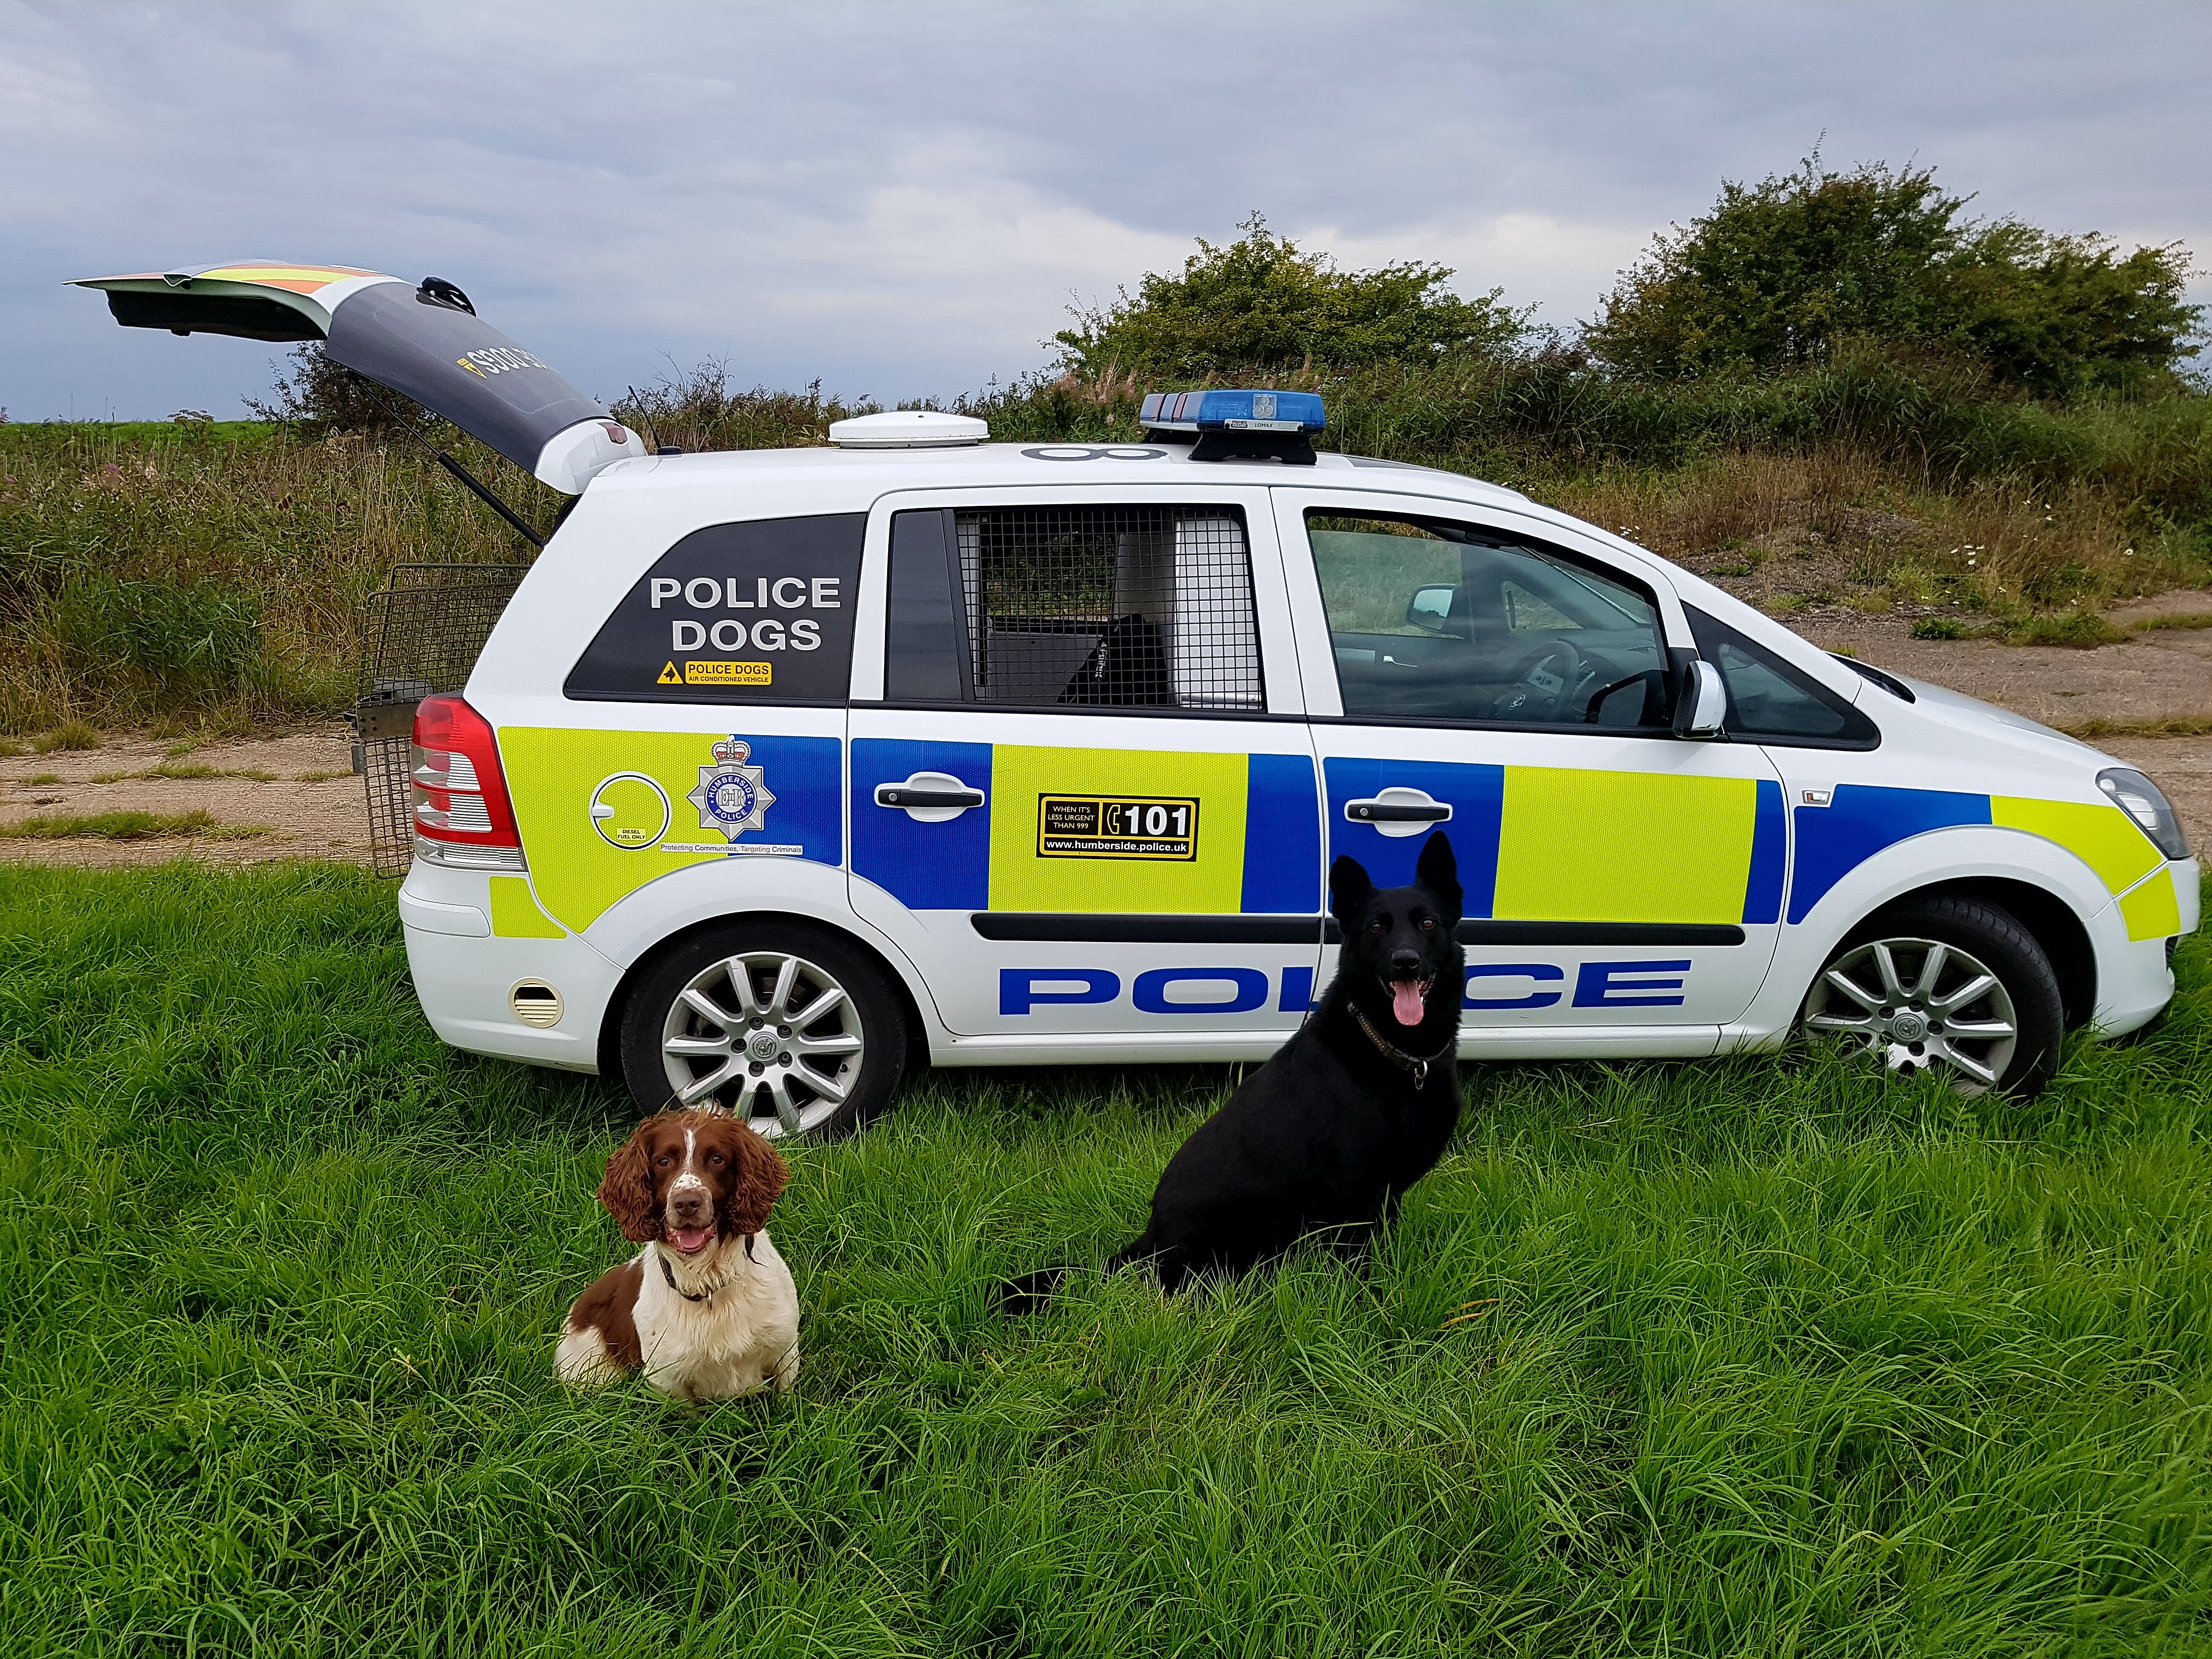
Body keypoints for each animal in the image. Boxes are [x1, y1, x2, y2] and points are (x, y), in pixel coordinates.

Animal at [1008, 832, 1469, 1309]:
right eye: (1377, 927)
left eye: (1428, 923)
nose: (1405, 962)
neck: (1398, 1055)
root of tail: (1151, 1243)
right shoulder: (1354, 1199)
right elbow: (1359, 1275)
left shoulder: (1386, 1197)